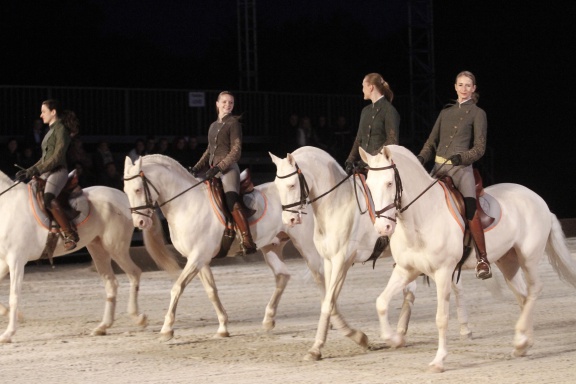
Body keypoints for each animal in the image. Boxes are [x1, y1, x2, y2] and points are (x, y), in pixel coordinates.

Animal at [0, 170, 180, 342]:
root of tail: (124, 198)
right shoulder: (4, 261)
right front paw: (14, 315)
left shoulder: (16, 261)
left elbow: (14, 296)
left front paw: (8, 333)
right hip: (97, 248)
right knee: (111, 283)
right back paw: (103, 326)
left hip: (115, 248)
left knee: (134, 273)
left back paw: (138, 317)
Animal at [121, 153, 328, 340]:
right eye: (126, 190)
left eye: (138, 189)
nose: (140, 222)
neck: (187, 204)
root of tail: (305, 198)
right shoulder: (199, 259)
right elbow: (211, 291)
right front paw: (222, 327)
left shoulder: (197, 257)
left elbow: (177, 287)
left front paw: (166, 329)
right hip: (272, 246)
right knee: (282, 276)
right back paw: (269, 320)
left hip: (305, 245)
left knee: (319, 273)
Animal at [266, 146, 450, 362]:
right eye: (278, 186)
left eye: (292, 184)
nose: (289, 220)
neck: (336, 203)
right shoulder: (328, 261)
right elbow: (330, 303)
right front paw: (357, 338)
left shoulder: (342, 261)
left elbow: (328, 304)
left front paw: (319, 347)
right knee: (409, 290)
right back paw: (399, 333)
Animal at [360, 145, 576, 372]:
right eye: (369, 185)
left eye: (389, 183)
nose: (383, 228)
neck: (423, 216)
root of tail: (539, 200)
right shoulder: (405, 270)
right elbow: (381, 302)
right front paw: (394, 339)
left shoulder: (443, 272)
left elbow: (441, 318)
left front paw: (439, 361)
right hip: (508, 261)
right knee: (523, 297)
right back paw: (523, 343)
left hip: (529, 257)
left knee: (534, 290)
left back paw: (520, 341)